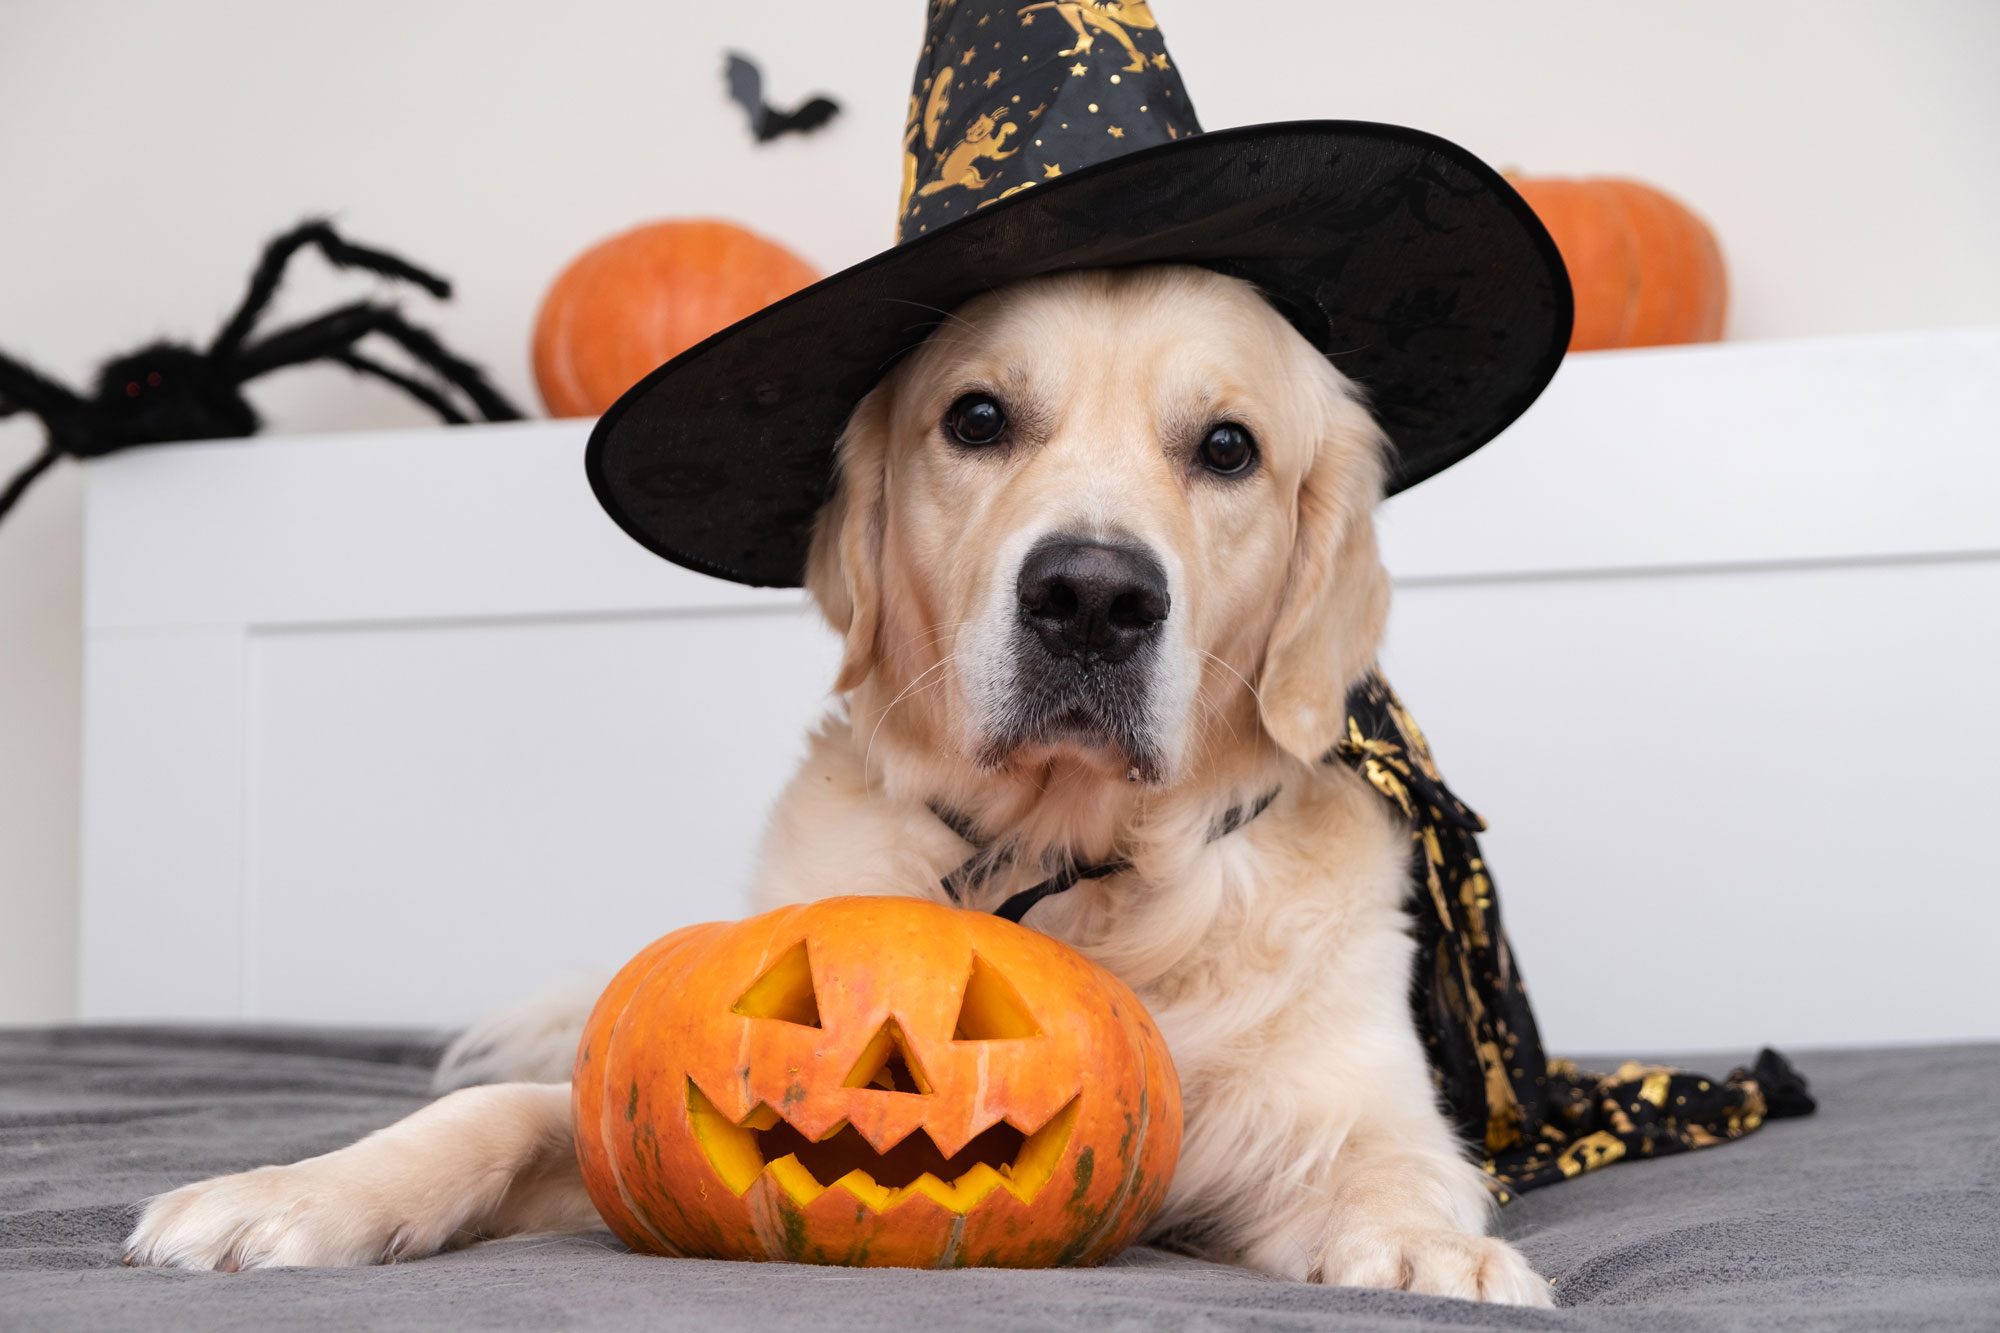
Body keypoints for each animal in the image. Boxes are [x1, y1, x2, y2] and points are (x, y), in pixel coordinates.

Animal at [125, 264, 1552, 1304]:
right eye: (975, 419)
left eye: (1227, 448)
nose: (1092, 598)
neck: (1077, 876)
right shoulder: (630, 1130)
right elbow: (496, 1114)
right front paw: (293, 1192)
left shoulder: (1342, 1114)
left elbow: (1396, 1171)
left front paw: (1437, 1253)